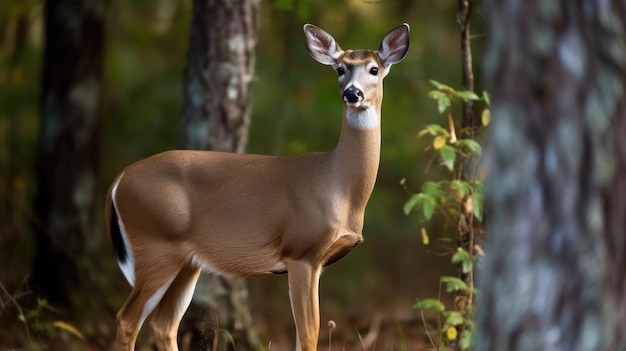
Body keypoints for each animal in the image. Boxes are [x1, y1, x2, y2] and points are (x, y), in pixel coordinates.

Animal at [106, 22, 410, 351]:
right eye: (340, 69)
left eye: (374, 69)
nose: (352, 93)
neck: (339, 184)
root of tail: (118, 180)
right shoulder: (300, 251)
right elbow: (308, 334)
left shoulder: (318, 261)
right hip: (156, 243)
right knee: (127, 320)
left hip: (186, 260)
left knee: (164, 325)